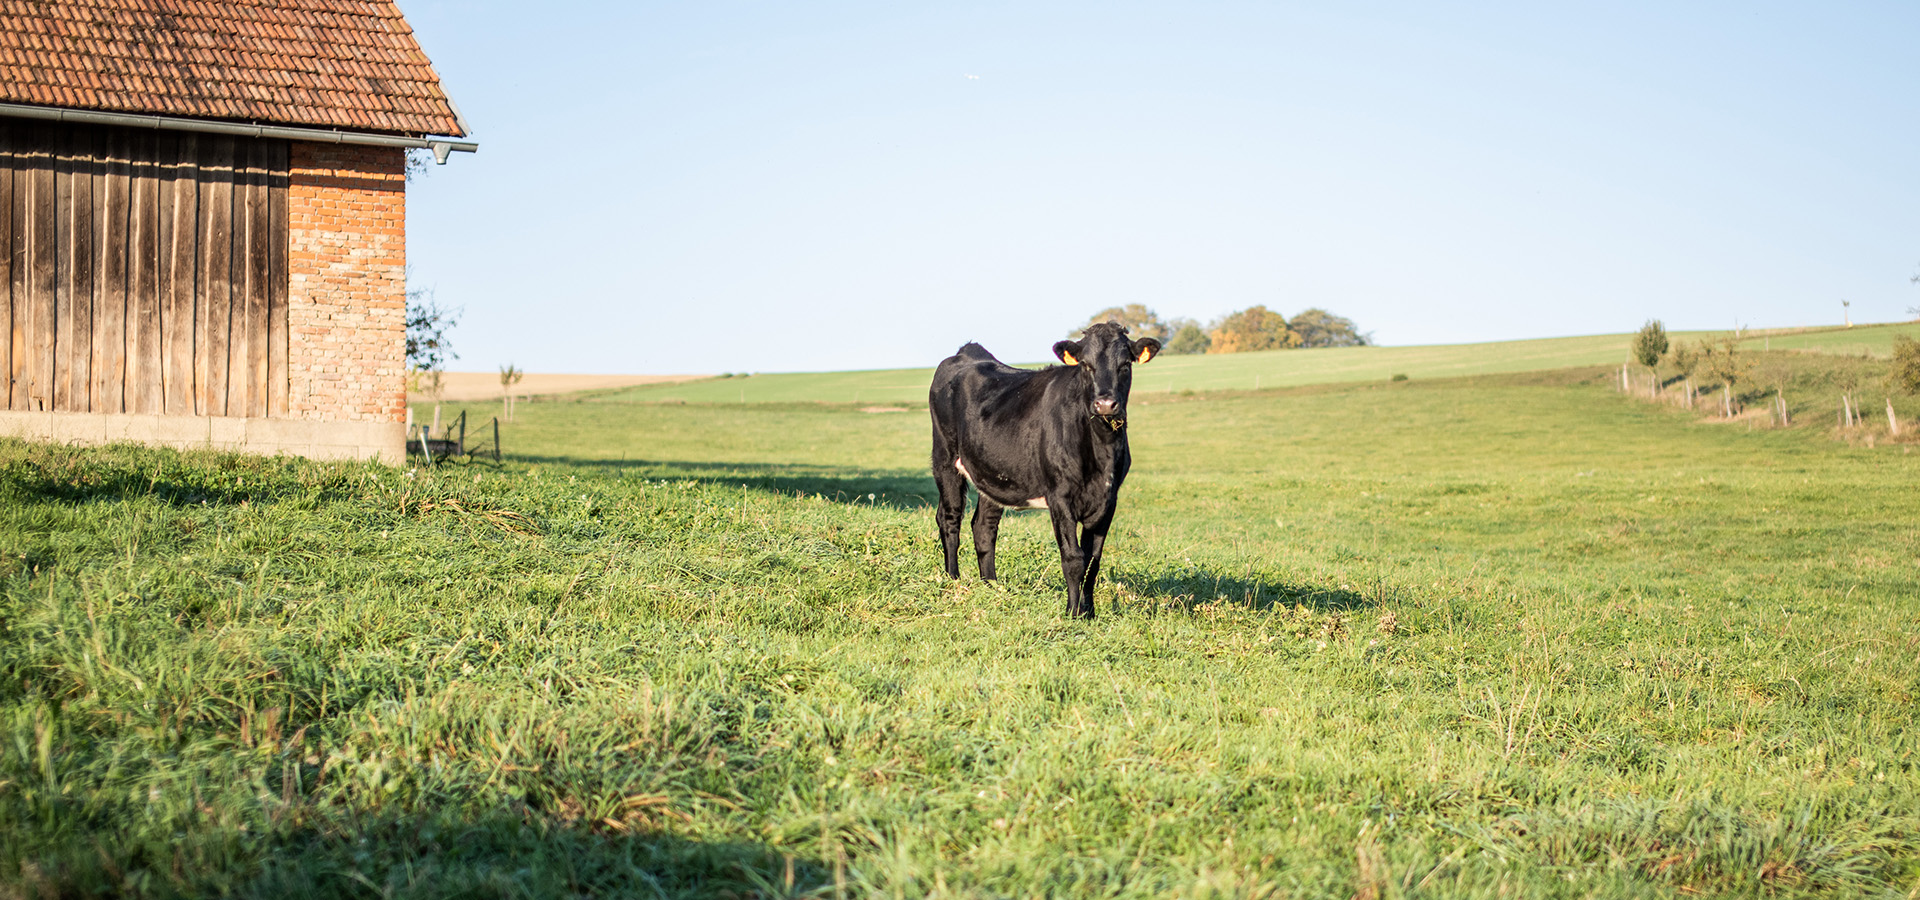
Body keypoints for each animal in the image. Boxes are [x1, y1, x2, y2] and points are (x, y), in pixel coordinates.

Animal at [928, 322, 1161, 618]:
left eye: (1125, 365)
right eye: (1085, 365)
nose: (1105, 404)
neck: (1101, 450)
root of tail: (968, 352)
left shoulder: (1108, 499)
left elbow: (1093, 561)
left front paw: (1090, 613)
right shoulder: (1059, 495)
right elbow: (1073, 558)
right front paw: (1073, 613)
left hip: (991, 474)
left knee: (984, 527)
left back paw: (991, 586)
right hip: (945, 458)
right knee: (949, 518)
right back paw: (953, 581)